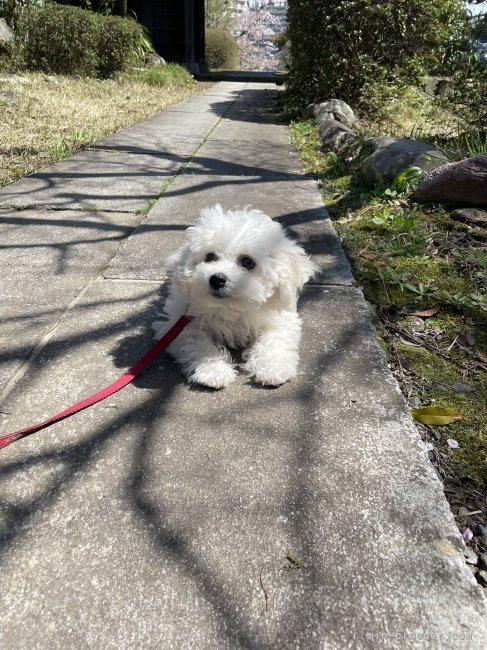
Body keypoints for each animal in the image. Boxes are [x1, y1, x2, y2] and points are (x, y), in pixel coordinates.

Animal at [154, 204, 318, 384]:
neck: (232, 308)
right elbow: (199, 342)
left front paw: (272, 368)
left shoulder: (282, 319)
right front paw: (214, 371)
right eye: (210, 257)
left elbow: (274, 340)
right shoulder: (179, 324)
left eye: (247, 262)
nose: (217, 279)